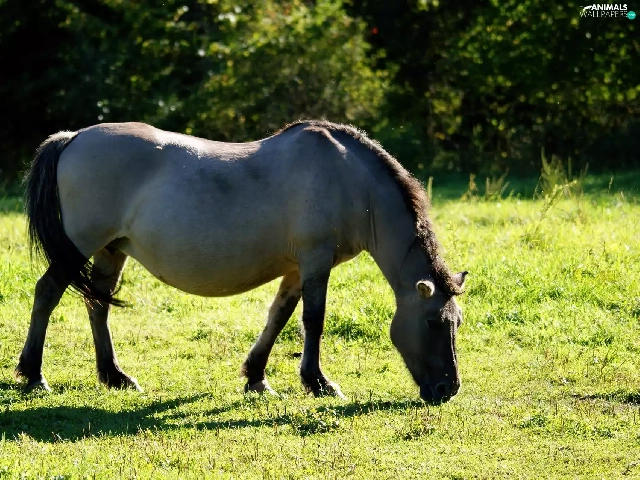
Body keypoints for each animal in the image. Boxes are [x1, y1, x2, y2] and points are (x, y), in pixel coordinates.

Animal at [16, 120, 467, 403]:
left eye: (456, 323)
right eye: (433, 322)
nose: (448, 389)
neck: (349, 179)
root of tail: (73, 137)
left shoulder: (296, 269)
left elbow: (278, 317)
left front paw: (257, 377)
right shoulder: (316, 261)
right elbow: (313, 320)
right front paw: (318, 383)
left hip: (112, 249)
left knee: (97, 304)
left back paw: (114, 376)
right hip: (80, 245)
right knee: (47, 293)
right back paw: (33, 376)